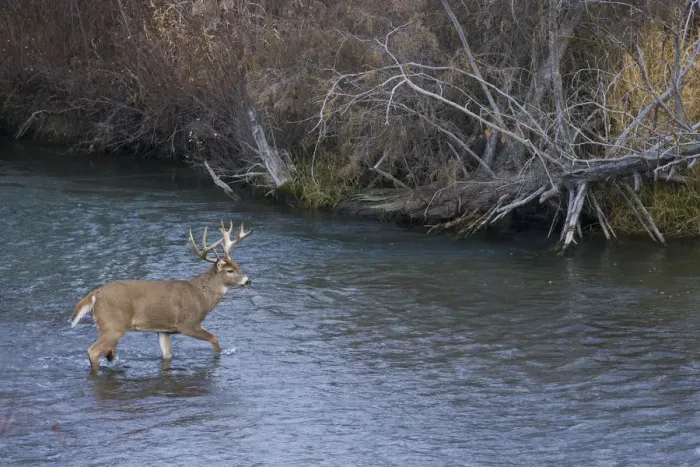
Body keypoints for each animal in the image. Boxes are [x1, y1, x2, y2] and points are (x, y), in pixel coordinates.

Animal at [70, 220, 253, 372]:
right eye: (230, 270)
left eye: (239, 266)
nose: (248, 280)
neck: (201, 296)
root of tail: (94, 295)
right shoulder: (188, 323)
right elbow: (214, 339)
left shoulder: (164, 330)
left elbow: (167, 355)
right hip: (113, 325)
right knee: (93, 351)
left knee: (107, 351)